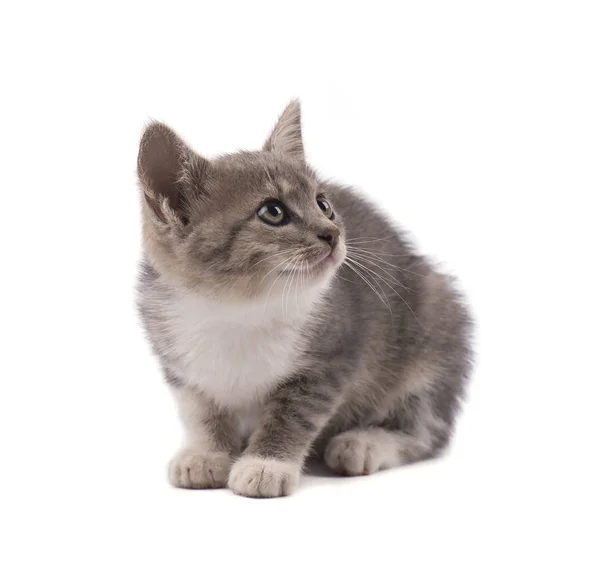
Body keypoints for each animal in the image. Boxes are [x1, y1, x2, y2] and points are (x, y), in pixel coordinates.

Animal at [136, 99, 474, 498]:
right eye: (273, 211)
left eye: (323, 204)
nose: (333, 233)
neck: (236, 310)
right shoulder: (176, 359)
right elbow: (200, 409)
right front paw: (206, 454)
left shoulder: (332, 354)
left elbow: (293, 414)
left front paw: (265, 465)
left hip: (435, 327)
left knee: (425, 431)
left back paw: (365, 443)